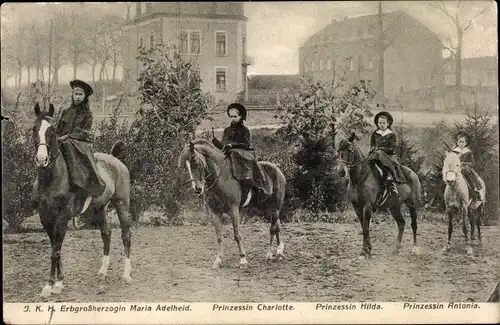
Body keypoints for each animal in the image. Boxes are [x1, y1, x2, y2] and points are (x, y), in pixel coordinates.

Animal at [31, 103, 133, 296]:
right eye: (34, 129)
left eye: (52, 131)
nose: (41, 159)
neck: (51, 179)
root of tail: (115, 159)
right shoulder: (45, 218)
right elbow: (55, 248)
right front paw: (54, 282)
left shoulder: (62, 218)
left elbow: (55, 251)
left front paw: (55, 284)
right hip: (99, 208)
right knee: (106, 233)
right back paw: (102, 271)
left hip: (122, 205)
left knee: (126, 235)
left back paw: (127, 275)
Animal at [177, 138, 288, 268]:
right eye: (185, 166)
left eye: (195, 160)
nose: (197, 189)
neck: (221, 178)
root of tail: (278, 170)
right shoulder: (215, 212)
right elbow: (219, 237)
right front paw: (218, 260)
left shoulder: (233, 210)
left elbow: (237, 235)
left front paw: (243, 259)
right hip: (266, 209)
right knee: (277, 226)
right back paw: (278, 251)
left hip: (274, 208)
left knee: (273, 228)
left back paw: (273, 253)